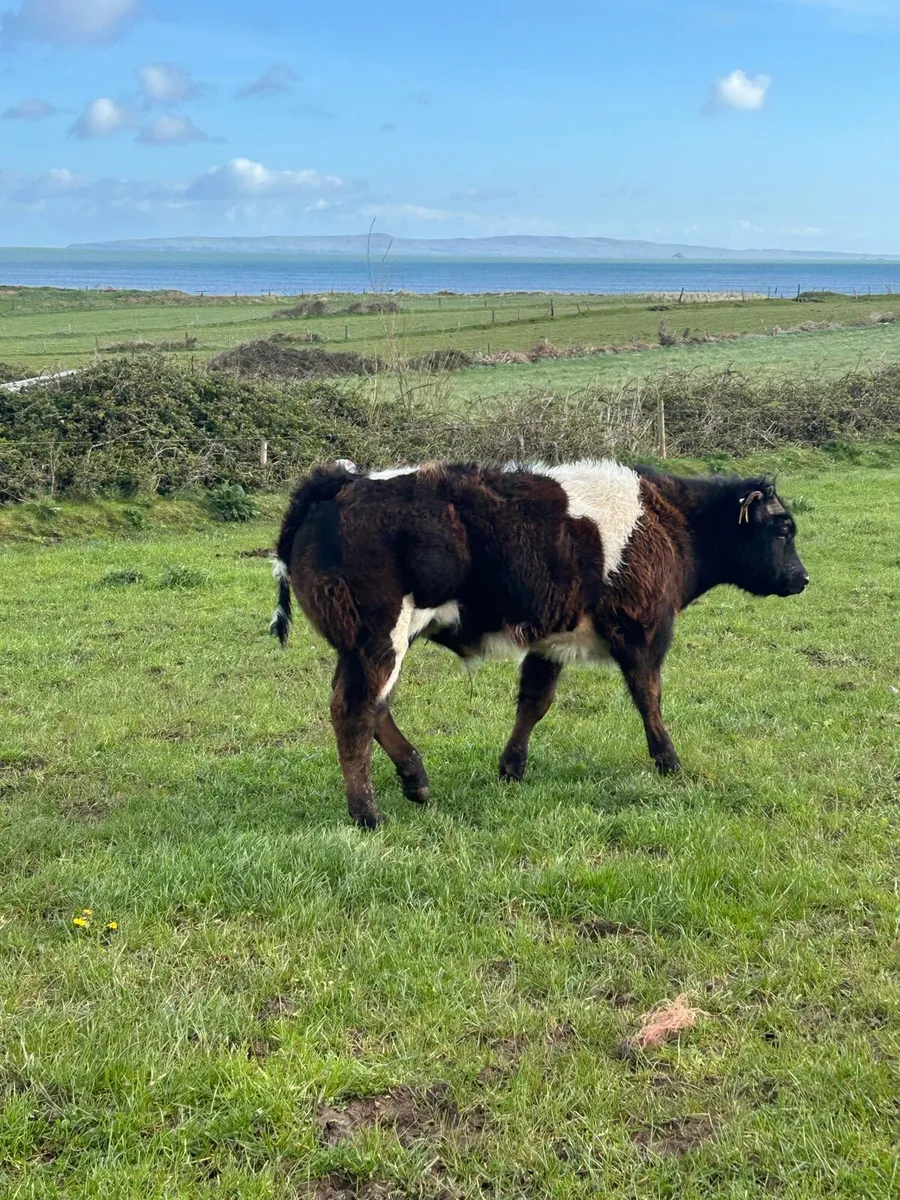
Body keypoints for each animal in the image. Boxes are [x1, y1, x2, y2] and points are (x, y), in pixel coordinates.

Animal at [271, 459, 808, 828]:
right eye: (783, 529)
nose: (802, 578)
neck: (664, 519)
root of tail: (341, 483)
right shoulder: (643, 633)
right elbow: (648, 698)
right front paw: (669, 761)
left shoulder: (550, 642)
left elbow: (534, 701)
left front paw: (511, 767)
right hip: (379, 640)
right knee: (355, 711)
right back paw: (367, 812)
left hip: (369, 648)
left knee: (375, 708)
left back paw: (415, 780)